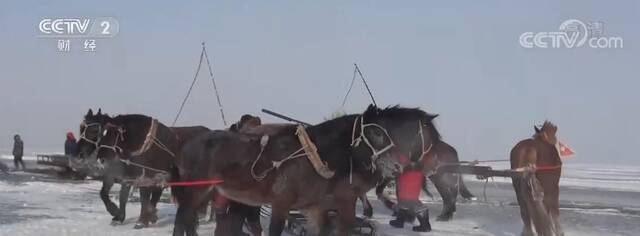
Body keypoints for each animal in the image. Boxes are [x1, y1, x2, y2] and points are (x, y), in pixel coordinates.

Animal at [170, 105, 440, 236]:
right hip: (195, 191)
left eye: (389, 132)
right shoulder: (281, 203)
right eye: (375, 132)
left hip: (207, 192)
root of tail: (187, 142)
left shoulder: (318, 208)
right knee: (181, 221)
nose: (397, 166)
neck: (313, 158)